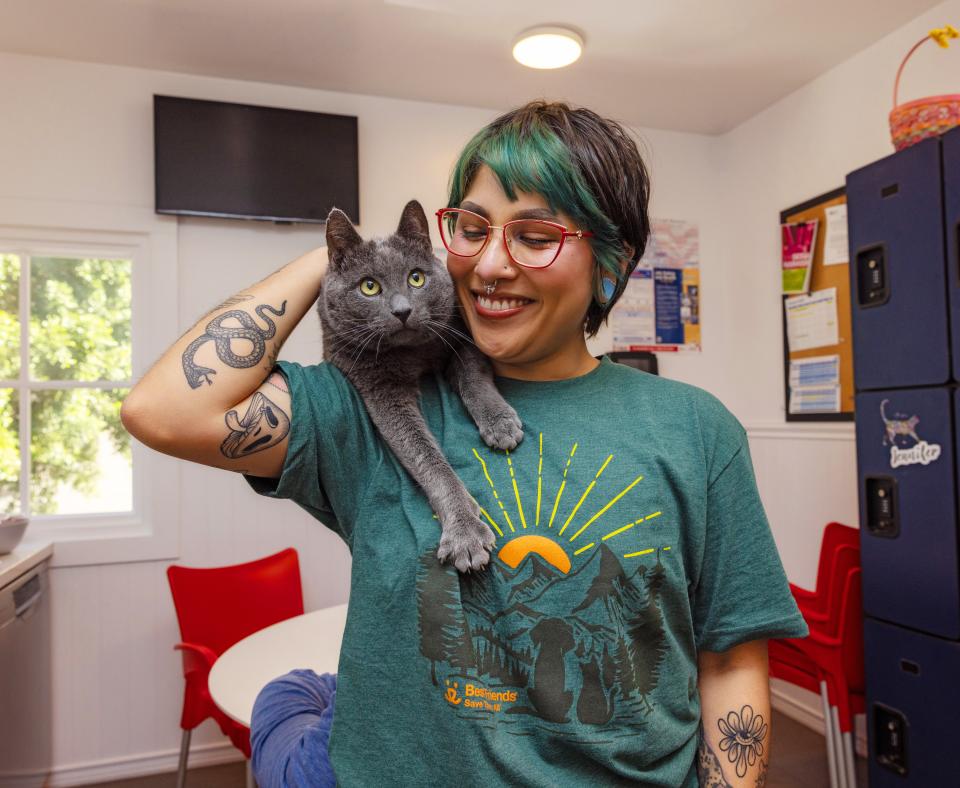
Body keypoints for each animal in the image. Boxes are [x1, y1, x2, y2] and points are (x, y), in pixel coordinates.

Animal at [318, 200, 520, 568]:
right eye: (369, 286)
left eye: (416, 277)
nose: (402, 310)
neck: (413, 355)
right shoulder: (378, 387)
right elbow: (426, 457)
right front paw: (465, 534)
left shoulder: (460, 334)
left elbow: (472, 377)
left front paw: (501, 425)